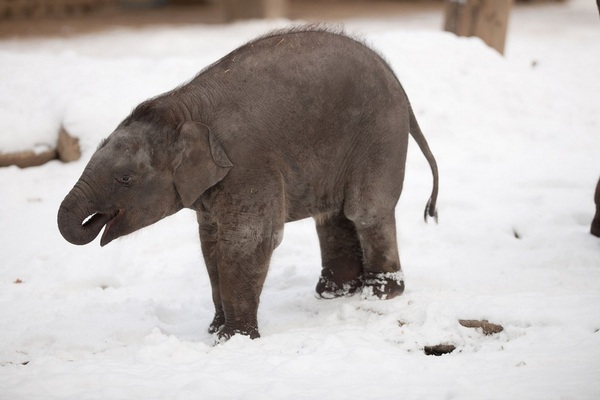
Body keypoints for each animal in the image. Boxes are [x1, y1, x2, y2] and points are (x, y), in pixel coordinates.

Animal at [57, 27, 436, 340]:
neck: (183, 108)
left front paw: (233, 340)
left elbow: (246, 241)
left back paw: (380, 294)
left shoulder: (248, 165)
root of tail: (398, 82)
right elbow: (210, 244)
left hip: (379, 135)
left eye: (125, 178)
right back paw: (333, 293)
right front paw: (214, 331)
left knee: (366, 210)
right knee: (332, 216)